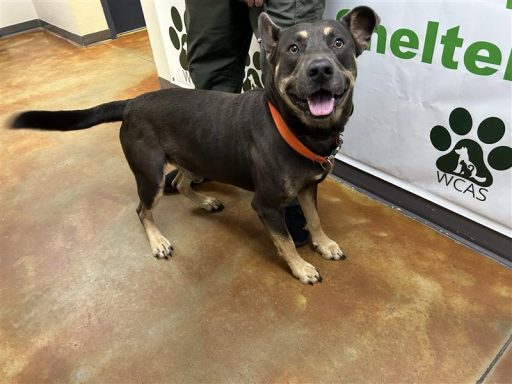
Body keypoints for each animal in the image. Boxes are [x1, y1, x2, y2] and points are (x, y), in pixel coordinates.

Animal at [10, 5, 380, 282]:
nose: (320, 69)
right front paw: (301, 267)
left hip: (191, 158)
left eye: (339, 43)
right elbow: (286, 241)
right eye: (293, 49)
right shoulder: (266, 205)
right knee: (143, 209)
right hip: (149, 174)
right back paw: (158, 241)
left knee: (181, 183)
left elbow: (314, 219)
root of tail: (131, 103)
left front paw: (324, 244)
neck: (297, 128)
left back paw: (204, 201)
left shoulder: (307, 188)